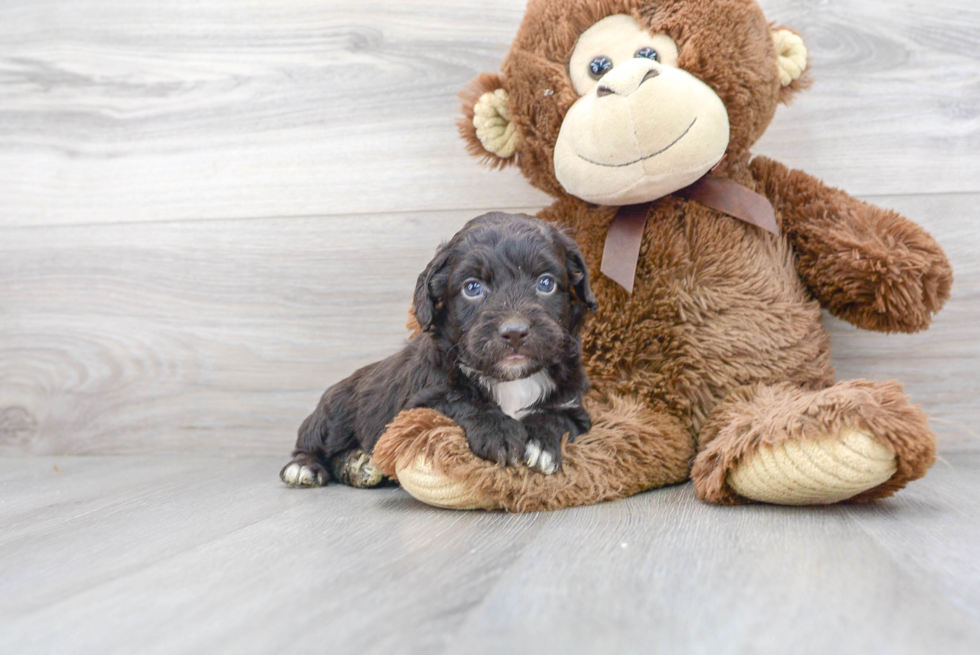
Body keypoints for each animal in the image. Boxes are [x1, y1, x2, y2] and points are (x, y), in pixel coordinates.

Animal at [278, 213, 596, 490]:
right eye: (472, 288)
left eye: (546, 283)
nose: (515, 331)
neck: (511, 380)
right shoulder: (418, 404)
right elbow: (459, 400)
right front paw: (499, 431)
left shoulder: (573, 406)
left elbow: (557, 417)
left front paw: (540, 443)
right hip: (333, 415)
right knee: (312, 444)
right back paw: (305, 467)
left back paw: (357, 465)